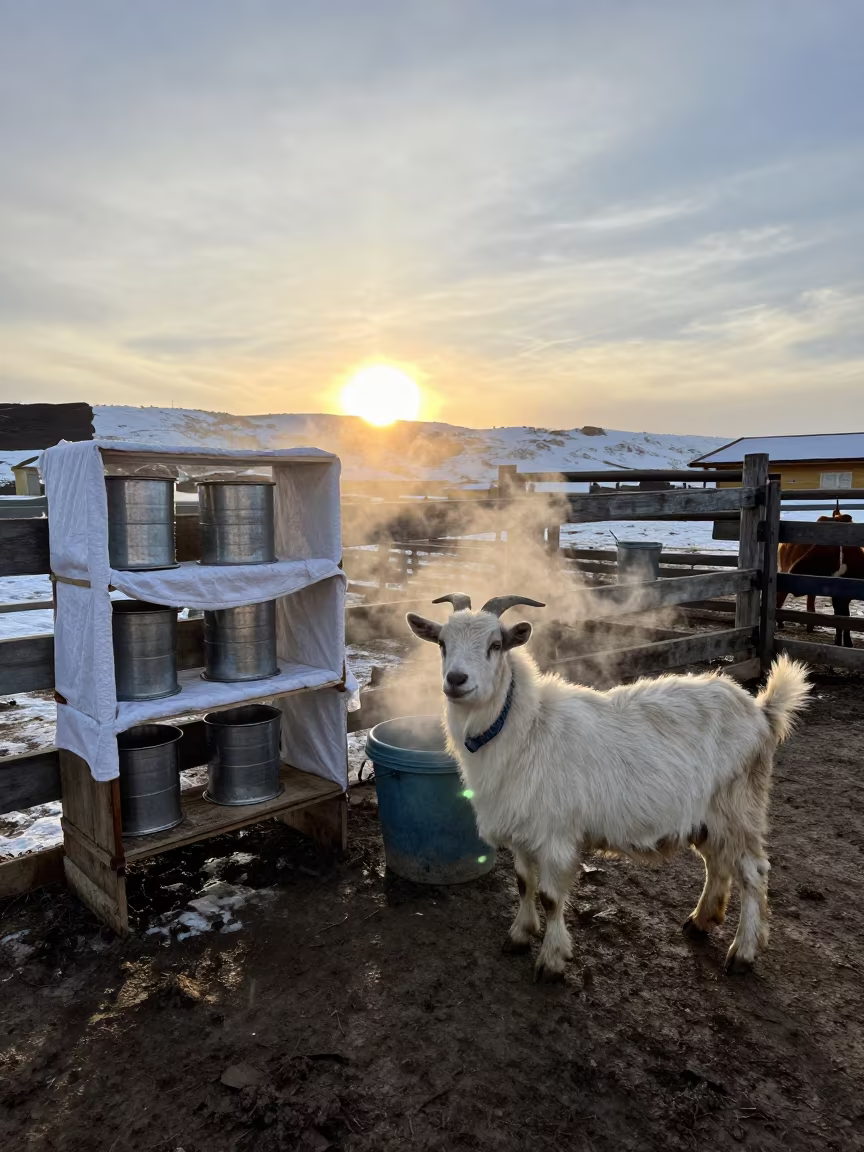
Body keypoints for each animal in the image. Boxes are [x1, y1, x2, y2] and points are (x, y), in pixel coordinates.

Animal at [407, 593, 811, 980]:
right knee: (717, 863)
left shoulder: (556, 834)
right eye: (442, 643)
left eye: (495, 644)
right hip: (706, 816)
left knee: (753, 872)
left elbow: (550, 897)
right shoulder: (521, 829)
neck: (528, 727)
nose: (456, 680)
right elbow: (524, 883)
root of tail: (762, 711)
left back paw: (743, 952)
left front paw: (551, 961)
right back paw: (701, 921)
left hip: (738, 806)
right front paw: (519, 936)